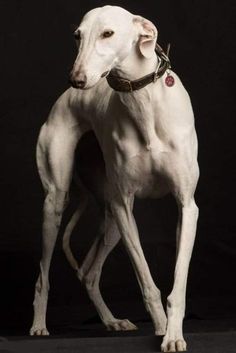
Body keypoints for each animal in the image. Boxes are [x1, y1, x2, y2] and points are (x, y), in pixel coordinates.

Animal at [30, 4, 198, 350]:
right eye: (77, 36)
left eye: (108, 33)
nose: (77, 79)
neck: (143, 103)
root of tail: (64, 99)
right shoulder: (124, 205)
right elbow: (147, 281)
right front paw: (161, 327)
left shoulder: (187, 206)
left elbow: (178, 282)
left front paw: (173, 334)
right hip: (59, 203)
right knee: (43, 275)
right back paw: (39, 325)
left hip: (111, 220)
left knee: (89, 274)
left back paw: (111, 321)